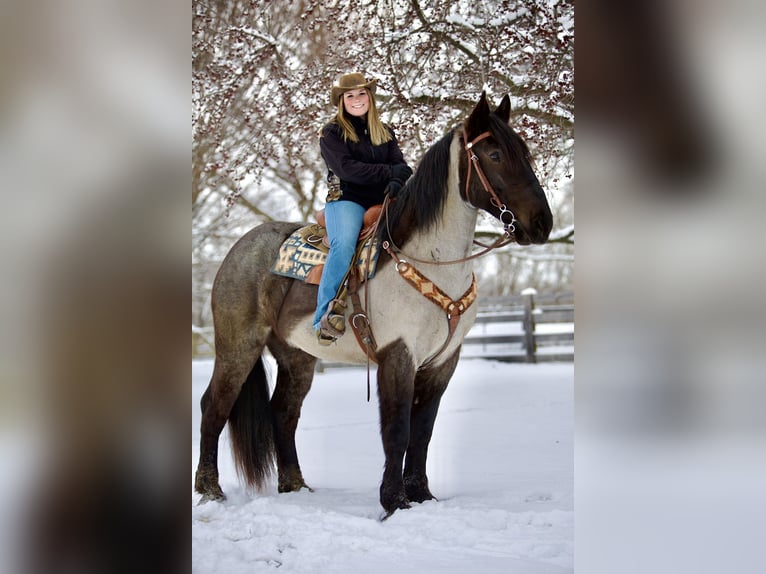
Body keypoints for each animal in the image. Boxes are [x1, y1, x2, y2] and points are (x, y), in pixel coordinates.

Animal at [192, 93, 552, 516]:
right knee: (214, 406)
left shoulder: (442, 363)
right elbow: (397, 430)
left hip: (297, 356)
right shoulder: (397, 356)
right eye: (494, 154)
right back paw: (210, 490)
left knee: (284, 412)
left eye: (525, 152)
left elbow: (422, 432)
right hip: (238, 347)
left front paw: (421, 495)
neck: (426, 259)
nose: (542, 223)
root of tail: (238, 250)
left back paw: (295, 486)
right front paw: (394, 501)